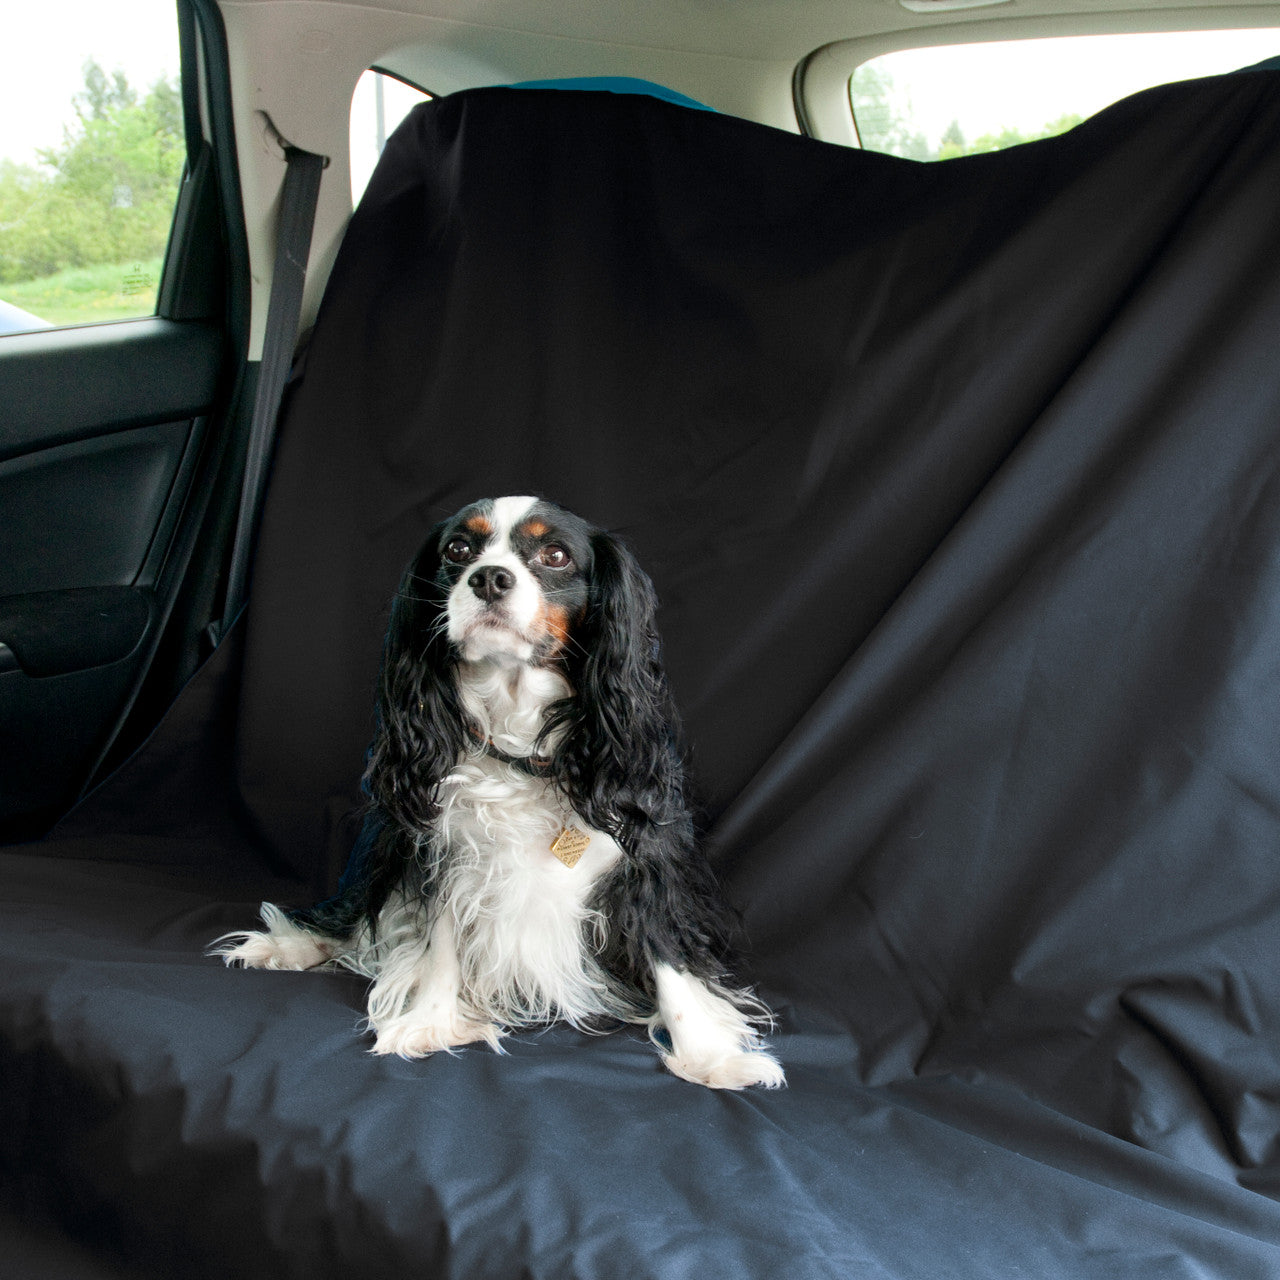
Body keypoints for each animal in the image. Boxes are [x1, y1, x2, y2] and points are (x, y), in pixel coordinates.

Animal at [212, 494, 778, 1085]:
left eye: (555, 555)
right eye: (459, 550)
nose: (488, 578)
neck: (521, 746)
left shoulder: (647, 854)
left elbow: (667, 956)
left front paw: (709, 1055)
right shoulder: (437, 850)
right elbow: (439, 939)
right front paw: (430, 1022)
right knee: (356, 913)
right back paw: (290, 945)